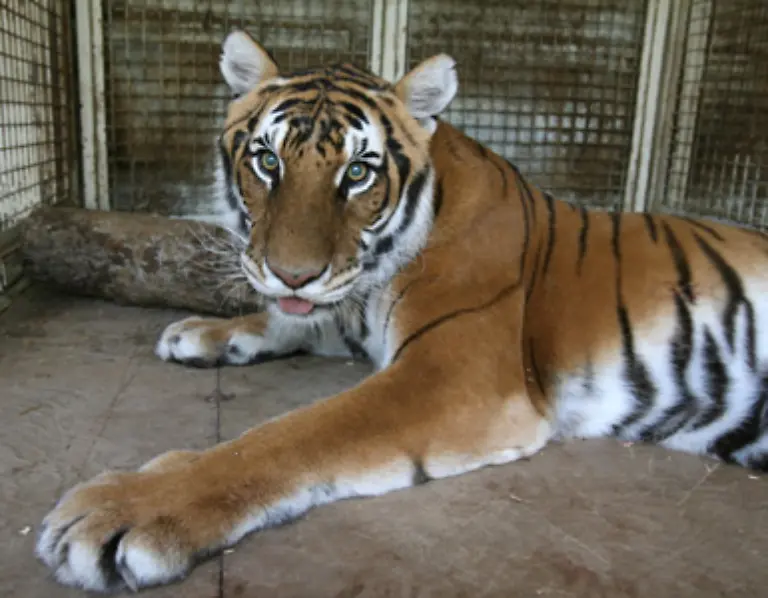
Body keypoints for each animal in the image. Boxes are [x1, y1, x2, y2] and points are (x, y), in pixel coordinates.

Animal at [37, 29, 768, 593]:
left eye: (358, 173)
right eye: (267, 160)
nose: (292, 270)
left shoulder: (453, 376)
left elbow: (290, 435)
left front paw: (128, 507)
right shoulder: (348, 310)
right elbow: (296, 319)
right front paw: (203, 332)